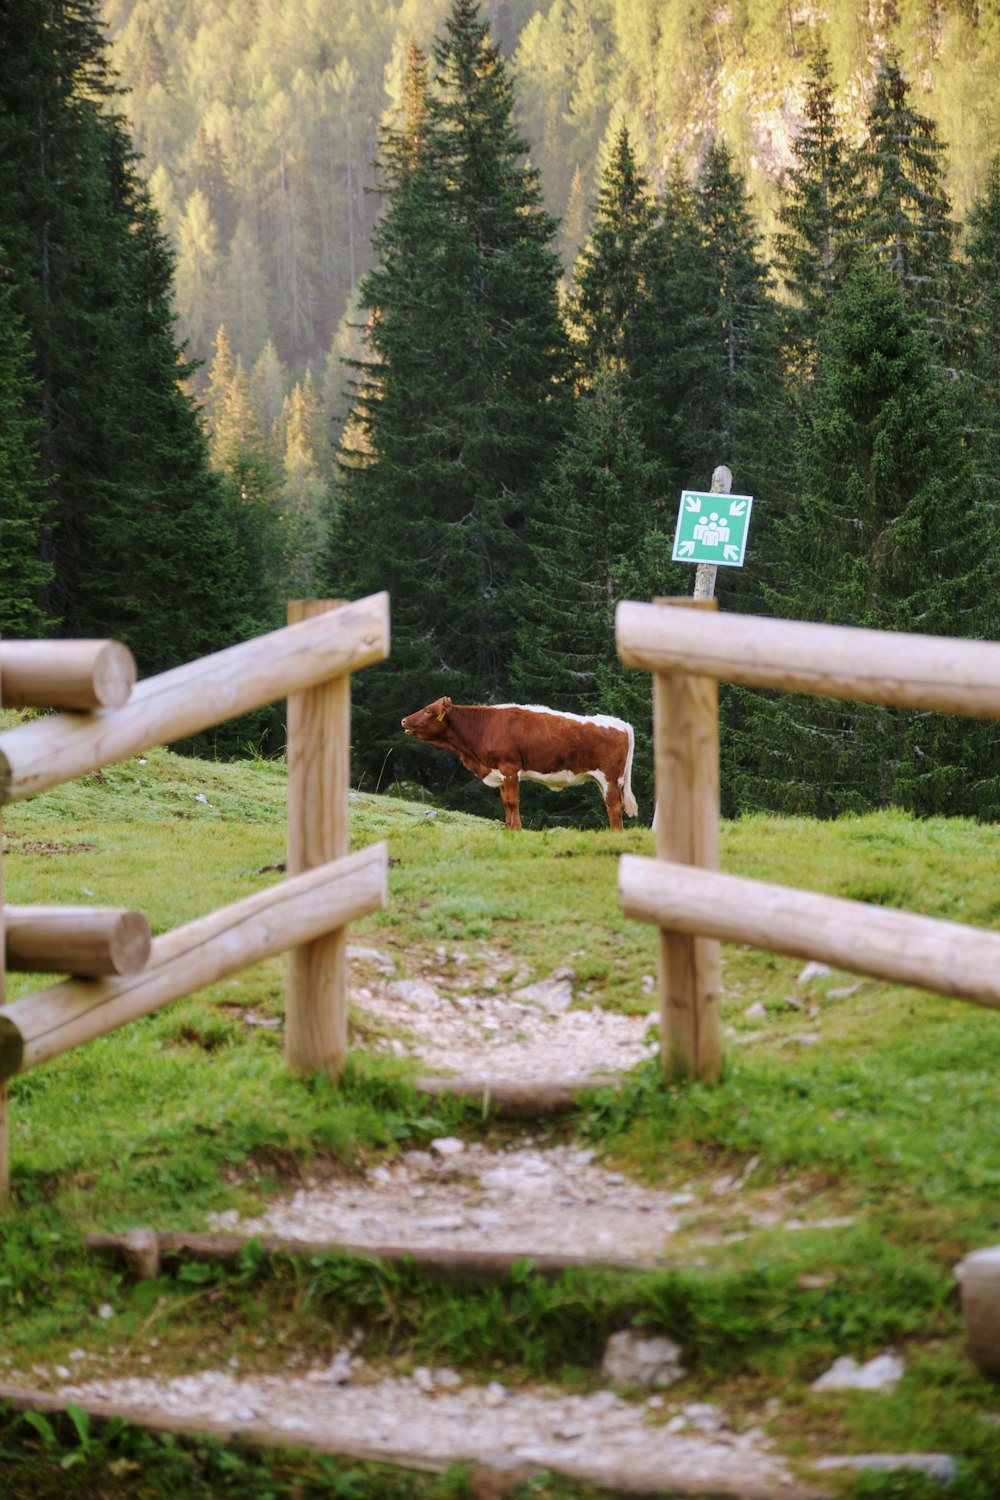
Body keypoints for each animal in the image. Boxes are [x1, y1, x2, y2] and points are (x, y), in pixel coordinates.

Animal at [401, 693, 641, 834]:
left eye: (428, 710)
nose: (404, 720)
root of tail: (620, 723)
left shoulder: (510, 768)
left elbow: (513, 801)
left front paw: (516, 829)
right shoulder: (499, 772)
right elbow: (505, 802)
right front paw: (508, 828)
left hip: (611, 778)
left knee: (614, 807)